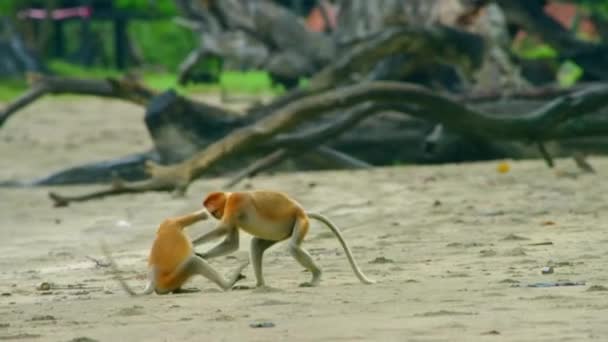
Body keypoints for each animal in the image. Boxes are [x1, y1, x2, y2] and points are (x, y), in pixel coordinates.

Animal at [102, 207, 249, 296]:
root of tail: (153, 279)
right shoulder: (171, 223)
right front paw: (203, 215)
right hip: (167, 282)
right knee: (193, 262)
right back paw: (228, 284)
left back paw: (181, 290)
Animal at [195, 191, 376, 288]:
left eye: (213, 209)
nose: (215, 214)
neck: (229, 196)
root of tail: (302, 211)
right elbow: (232, 242)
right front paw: (201, 255)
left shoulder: (235, 203)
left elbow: (224, 229)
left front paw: (194, 244)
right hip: (280, 232)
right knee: (256, 245)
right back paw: (260, 285)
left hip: (300, 222)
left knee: (293, 247)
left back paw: (316, 277)